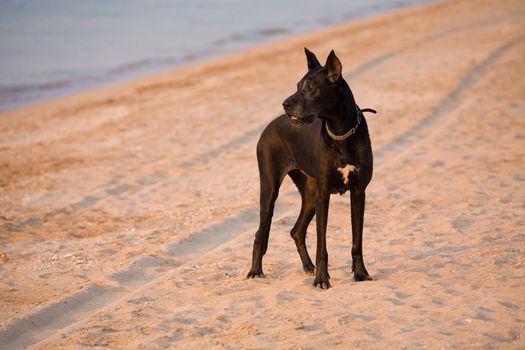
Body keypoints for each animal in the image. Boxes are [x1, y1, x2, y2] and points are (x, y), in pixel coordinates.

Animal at [247, 49, 374, 290]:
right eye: (298, 85)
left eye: (310, 88)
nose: (285, 104)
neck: (340, 132)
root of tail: (269, 126)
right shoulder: (324, 194)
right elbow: (321, 243)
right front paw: (322, 279)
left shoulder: (358, 192)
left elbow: (357, 241)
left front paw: (361, 274)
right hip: (270, 189)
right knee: (260, 233)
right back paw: (255, 271)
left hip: (310, 195)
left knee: (296, 231)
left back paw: (308, 267)